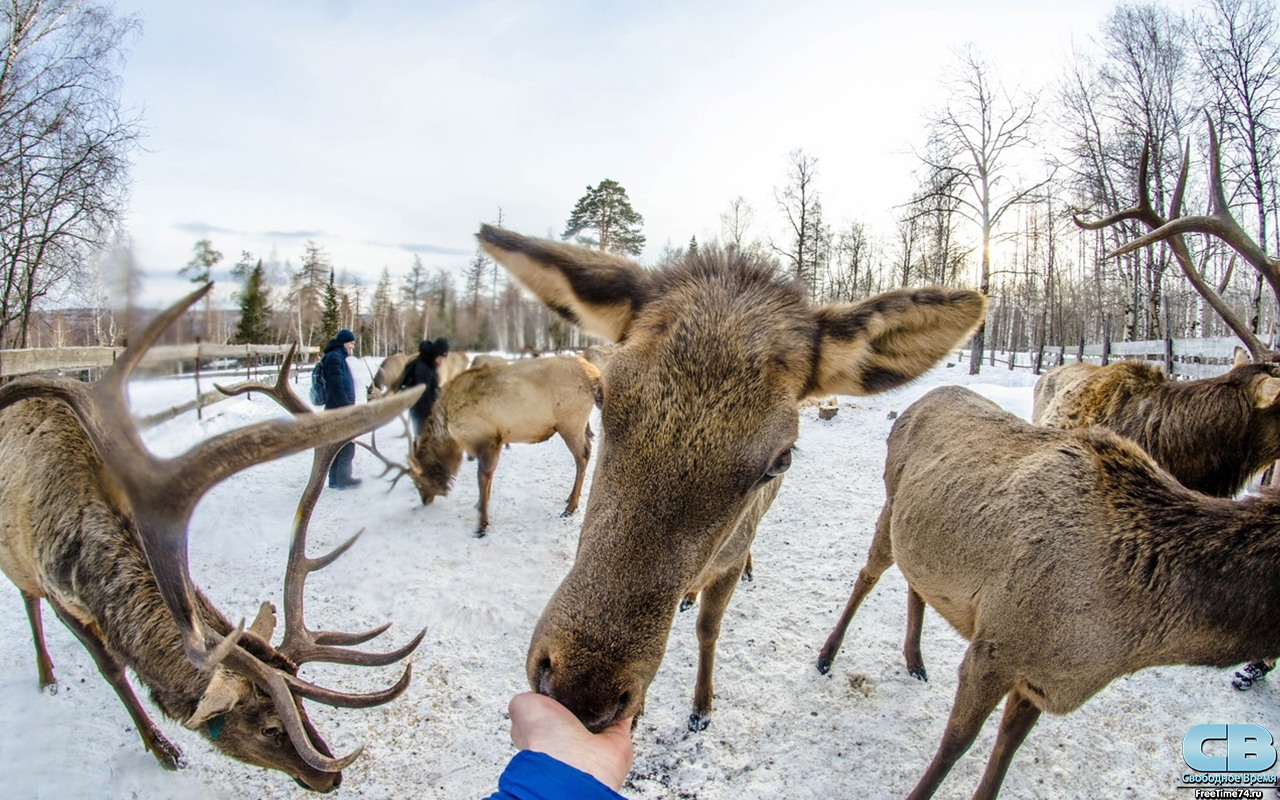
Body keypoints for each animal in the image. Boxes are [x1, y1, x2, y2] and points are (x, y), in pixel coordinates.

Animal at [0, 285, 425, 792]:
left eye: (302, 705)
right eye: (268, 727)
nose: (332, 776)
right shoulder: (56, 589)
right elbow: (111, 667)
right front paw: (162, 748)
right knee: (27, 598)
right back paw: (47, 674)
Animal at [477, 225, 986, 732]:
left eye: (781, 458)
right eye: (602, 394)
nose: (581, 688)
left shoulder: (733, 554)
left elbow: (710, 629)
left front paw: (702, 707)